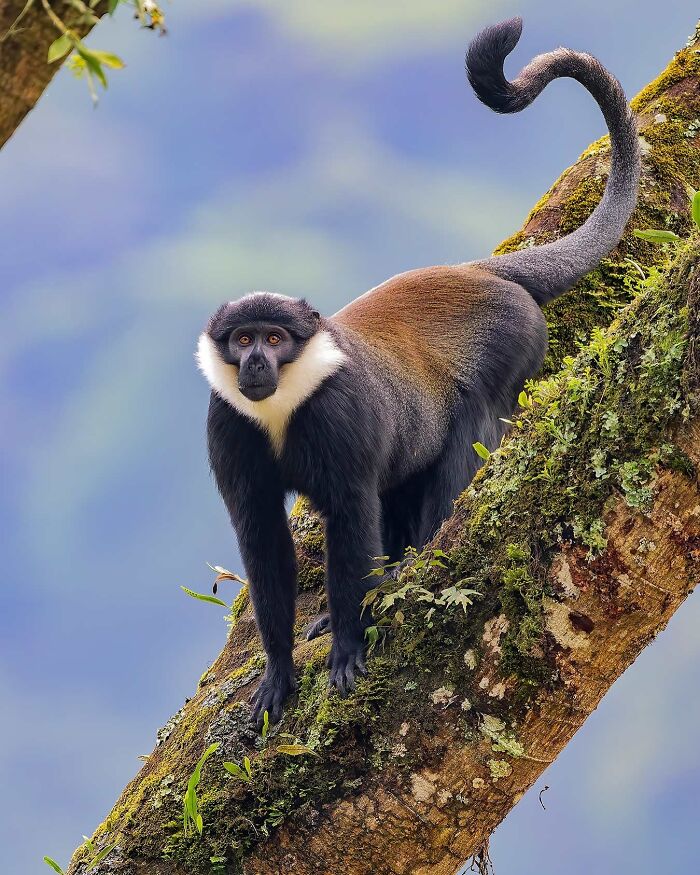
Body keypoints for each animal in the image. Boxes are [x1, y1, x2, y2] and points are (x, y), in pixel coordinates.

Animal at [196, 17, 640, 725]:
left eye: (274, 337)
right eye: (241, 340)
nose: (257, 362)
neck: (283, 406)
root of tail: (482, 272)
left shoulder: (340, 415)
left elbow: (353, 513)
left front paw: (348, 646)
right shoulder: (227, 425)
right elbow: (262, 536)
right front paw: (279, 670)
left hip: (515, 345)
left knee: (467, 439)